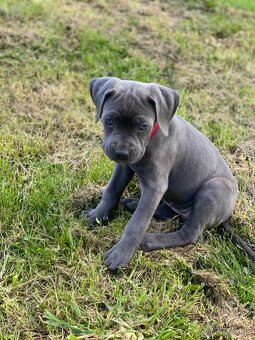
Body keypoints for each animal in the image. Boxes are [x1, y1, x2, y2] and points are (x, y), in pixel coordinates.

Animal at [86, 76, 238, 270]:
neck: (152, 138)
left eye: (143, 126)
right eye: (109, 120)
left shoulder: (155, 186)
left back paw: (150, 240)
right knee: (170, 212)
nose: (121, 153)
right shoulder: (125, 167)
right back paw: (134, 204)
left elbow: (137, 223)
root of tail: (226, 217)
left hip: (213, 189)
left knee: (191, 233)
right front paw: (97, 215)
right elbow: (112, 190)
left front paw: (121, 253)